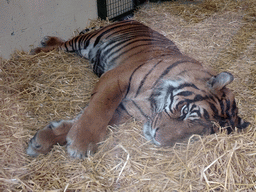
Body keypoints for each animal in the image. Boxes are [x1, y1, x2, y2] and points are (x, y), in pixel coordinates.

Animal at [27, 19, 249, 158]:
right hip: (88, 39)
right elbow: (97, 112)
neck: (151, 103)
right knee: (63, 44)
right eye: (186, 112)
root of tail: (132, 20)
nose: (157, 140)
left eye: (195, 135)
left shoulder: (123, 110)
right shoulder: (115, 79)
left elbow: (84, 119)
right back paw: (40, 47)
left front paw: (42, 141)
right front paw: (81, 145)